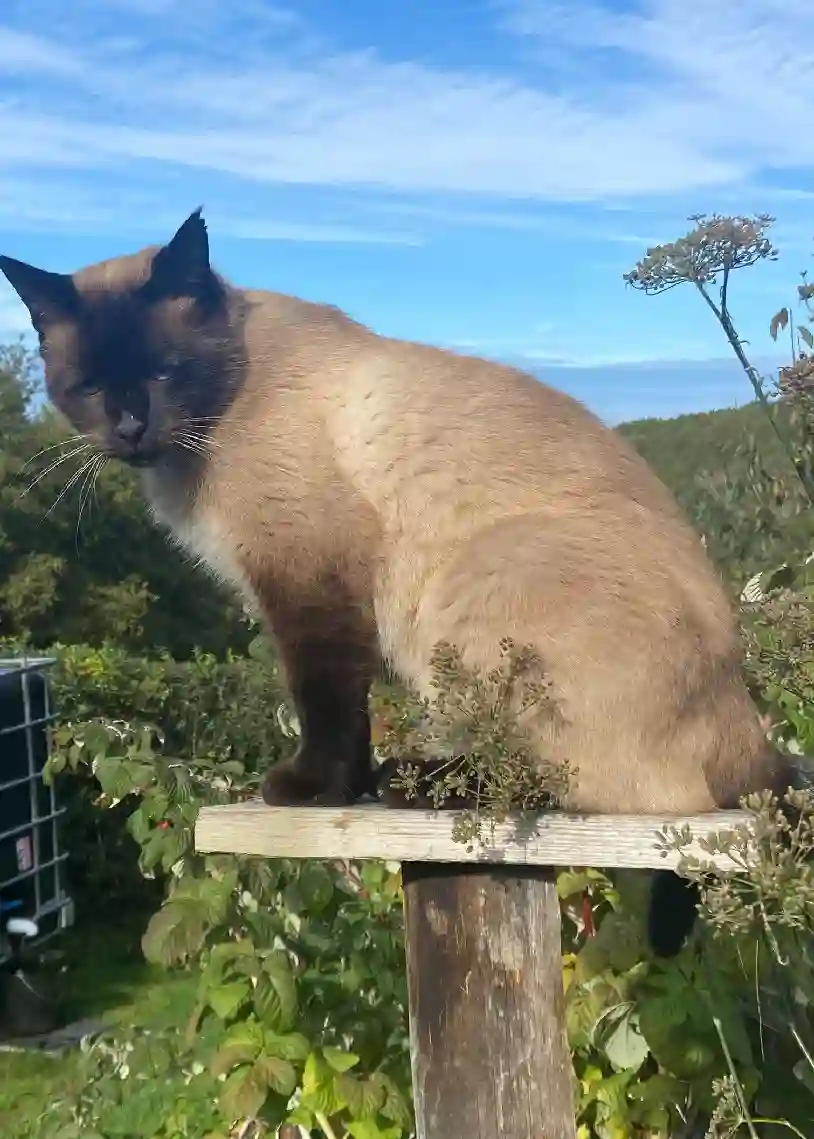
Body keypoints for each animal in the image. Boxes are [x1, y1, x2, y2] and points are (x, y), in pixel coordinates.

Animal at [0, 211, 792, 952]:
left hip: (476, 582)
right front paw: (343, 790)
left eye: (165, 372)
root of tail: (752, 734)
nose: (131, 428)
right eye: (89, 388)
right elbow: (349, 712)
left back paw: (420, 784)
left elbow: (327, 700)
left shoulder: (309, 583)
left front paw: (311, 790)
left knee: (603, 786)